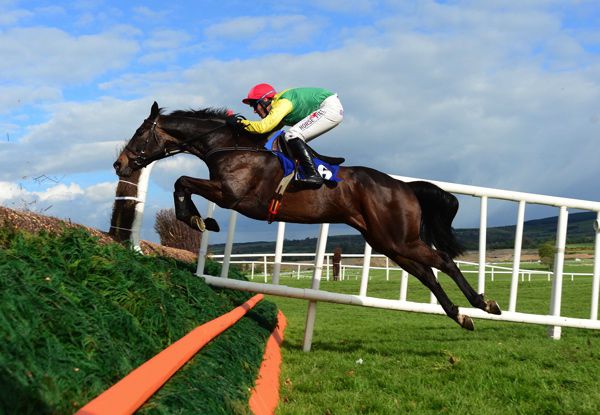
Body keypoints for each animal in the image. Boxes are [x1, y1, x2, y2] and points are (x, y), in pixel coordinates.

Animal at [113, 101, 502, 332]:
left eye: (139, 133)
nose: (119, 164)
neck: (229, 146)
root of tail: (403, 186)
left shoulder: (233, 196)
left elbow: (181, 182)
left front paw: (198, 219)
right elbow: (182, 183)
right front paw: (199, 219)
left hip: (398, 238)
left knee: (444, 261)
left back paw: (483, 303)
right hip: (388, 242)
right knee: (428, 274)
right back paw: (460, 315)